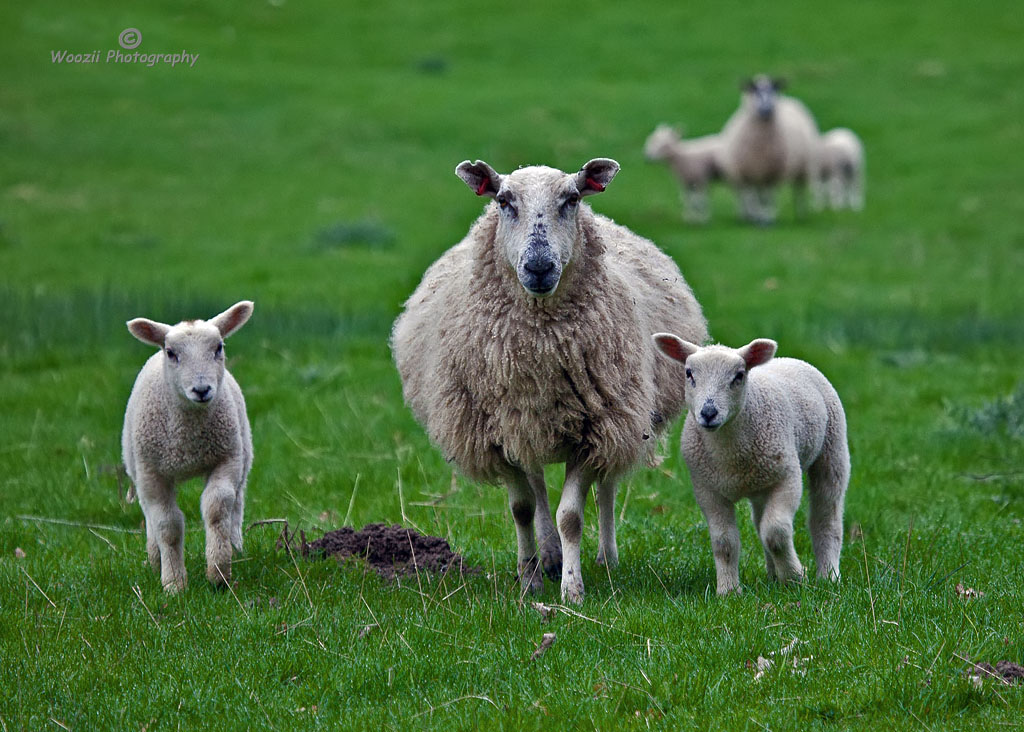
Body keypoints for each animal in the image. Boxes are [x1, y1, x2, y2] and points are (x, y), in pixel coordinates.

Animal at [122, 300, 256, 593]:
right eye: (171, 353)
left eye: (219, 347)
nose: (202, 389)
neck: (188, 443)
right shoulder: (151, 472)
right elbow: (167, 524)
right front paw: (174, 583)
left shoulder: (227, 458)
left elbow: (217, 507)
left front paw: (219, 572)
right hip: (137, 467)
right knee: (148, 514)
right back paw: (154, 558)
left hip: (243, 452)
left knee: (237, 501)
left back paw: (236, 546)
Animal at [387, 157, 708, 606]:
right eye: (504, 201)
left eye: (571, 199)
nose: (539, 266)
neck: (539, 350)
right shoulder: (498, 435)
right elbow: (522, 509)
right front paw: (530, 580)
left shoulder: (595, 432)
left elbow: (570, 515)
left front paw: (572, 590)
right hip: (527, 427)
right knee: (537, 488)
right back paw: (549, 556)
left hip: (622, 421)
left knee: (606, 488)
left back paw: (605, 558)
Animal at [651, 335, 851, 593]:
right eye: (689, 373)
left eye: (738, 376)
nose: (708, 412)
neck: (729, 455)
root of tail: (787, 359)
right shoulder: (708, 489)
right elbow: (724, 541)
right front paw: (728, 590)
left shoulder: (787, 477)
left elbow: (776, 532)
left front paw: (795, 576)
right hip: (760, 484)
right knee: (760, 522)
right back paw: (773, 576)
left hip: (832, 448)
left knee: (826, 516)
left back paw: (828, 575)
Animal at [716, 74, 827, 225]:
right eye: (754, 90)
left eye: (775, 89)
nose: (767, 109)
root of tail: (789, 99)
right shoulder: (747, 173)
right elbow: (752, 197)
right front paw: (754, 218)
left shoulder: (771, 173)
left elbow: (768, 198)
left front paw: (767, 219)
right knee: (752, 195)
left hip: (803, 168)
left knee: (798, 191)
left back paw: (800, 214)